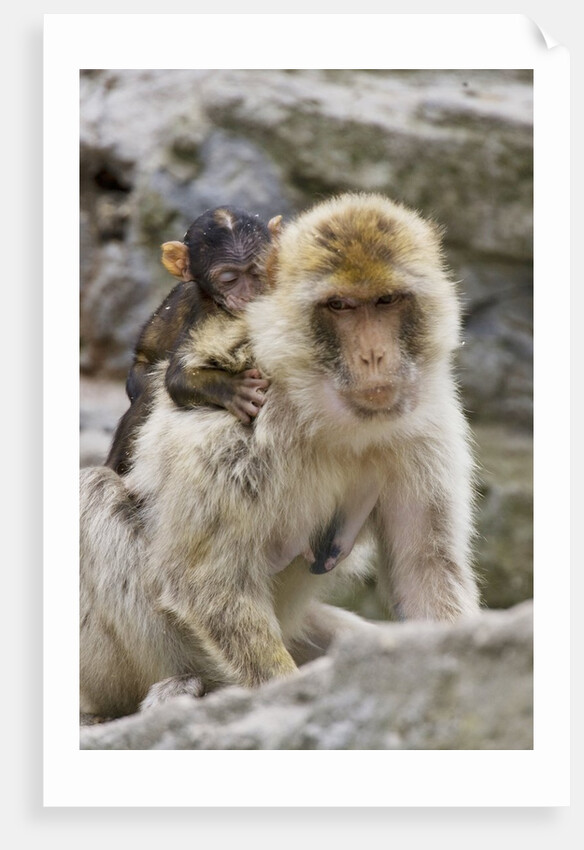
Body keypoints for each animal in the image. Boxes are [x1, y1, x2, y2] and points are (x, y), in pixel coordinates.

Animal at [105, 206, 282, 475]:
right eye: (229, 279)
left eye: (256, 271)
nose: (247, 295)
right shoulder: (201, 311)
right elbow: (178, 377)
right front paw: (236, 390)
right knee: (149, 391)